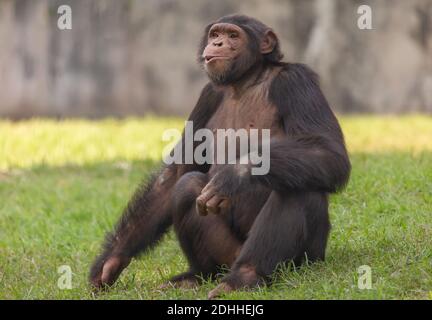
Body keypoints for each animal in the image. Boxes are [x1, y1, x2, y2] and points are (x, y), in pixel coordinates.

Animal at [88, 13, 352, 298]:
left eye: (233, 35)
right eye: (216, 34)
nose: (217, 43)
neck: (245, 81)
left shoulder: (296, 81)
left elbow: (327, 151)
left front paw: (236, 175)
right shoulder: (207, 96)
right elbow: (174, 175)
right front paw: (111, 260)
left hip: (307, 258)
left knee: (296, 187)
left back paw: (244, 277)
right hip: (227, 255)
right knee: (188, 186)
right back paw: (197, 277)